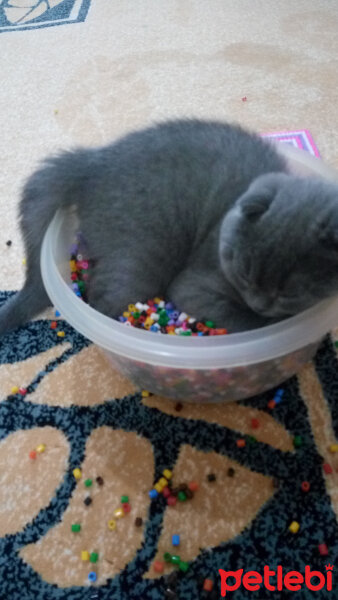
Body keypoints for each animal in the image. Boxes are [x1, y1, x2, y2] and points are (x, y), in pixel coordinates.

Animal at [0, 116, 338, 332]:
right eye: (244, 274)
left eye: (290, 292)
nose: (260, 304)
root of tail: (92, 163)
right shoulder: (195, 285)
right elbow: (239, 318)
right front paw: (266, 323)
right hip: (141, 256)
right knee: (103, 298)